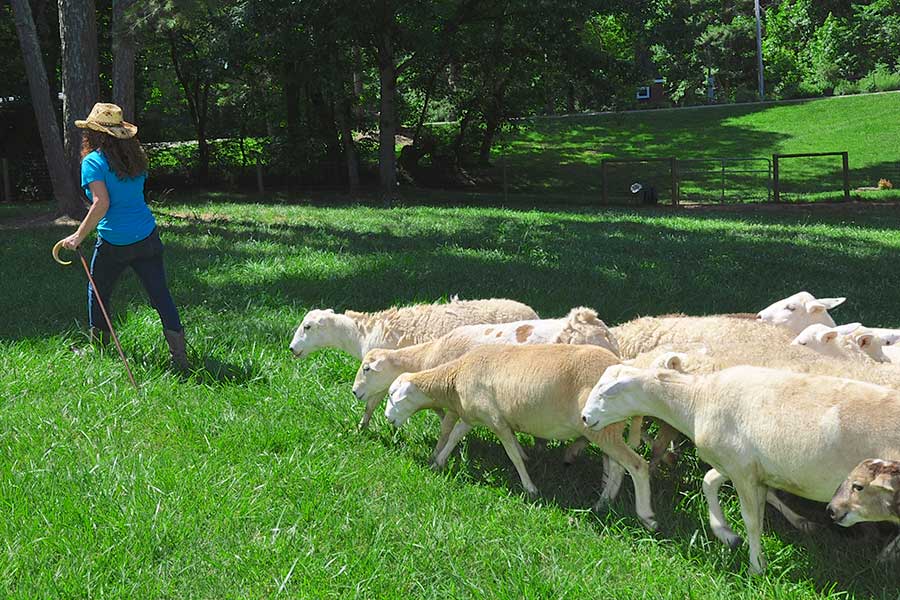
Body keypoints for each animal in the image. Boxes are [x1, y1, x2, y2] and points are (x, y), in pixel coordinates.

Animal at [384, 342, 656, 528]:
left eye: (393, 396)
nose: (387, 419)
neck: (457, 375)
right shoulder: (475, 415)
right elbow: (455, 436)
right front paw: (439, 462)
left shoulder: (497, 421)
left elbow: (513, 454)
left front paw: (530, 488)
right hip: (607, 427)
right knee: (618, 466)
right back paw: (603, 503)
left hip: (602, 427)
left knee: (637, 465)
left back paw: (646, 517)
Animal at [580, 364, 900, 576]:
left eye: (607, 393)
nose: (584, 417)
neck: (697, 400)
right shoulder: (739, 465)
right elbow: (709, 482)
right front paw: (725, 534)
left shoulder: (742, 471)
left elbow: (753, 520)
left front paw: (756, 567)